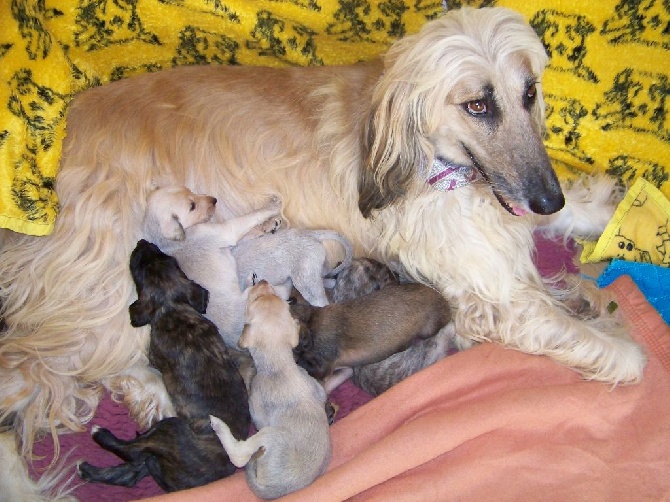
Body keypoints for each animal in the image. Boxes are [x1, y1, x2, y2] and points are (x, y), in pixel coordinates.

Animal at [76, 241, 249, 492]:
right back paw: (86, 469)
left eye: (138, 267)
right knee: (131, 471)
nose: (143, 242)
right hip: (155, 454)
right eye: (170, 259)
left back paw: (100, 434)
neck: (173, 308)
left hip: (169, 429)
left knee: (132, 451)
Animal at [143, 186, 282, 348]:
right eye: (192, 207)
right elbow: (250, 217)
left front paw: (268, 225)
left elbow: (251, 230)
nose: (214, 200)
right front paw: (273, 207)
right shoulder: (227, 231)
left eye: (190, 190)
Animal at [211, 280, 332, 500]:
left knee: (240, 456)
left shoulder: (257, 409)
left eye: (254, 300)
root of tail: (277, 489)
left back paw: (218, 425)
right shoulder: (316, 386)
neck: (279, 364)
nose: (262, 281)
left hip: (271, 435)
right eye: (281, 299)